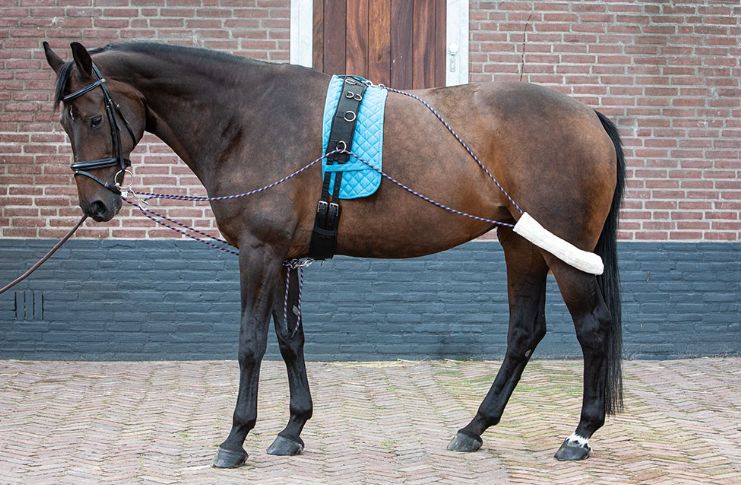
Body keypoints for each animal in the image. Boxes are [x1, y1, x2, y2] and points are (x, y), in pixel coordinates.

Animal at [42, 41, 625, 467]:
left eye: (93, 118)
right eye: (66, 123)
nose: (96, 204)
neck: (247, 116)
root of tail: (589, 115)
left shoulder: (258, 253)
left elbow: (251, 344)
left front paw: (236, 439)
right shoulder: (283, 258)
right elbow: (290, 340)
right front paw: (292, 428)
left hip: (563, 252)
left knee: (593, 328)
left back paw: (579, 436)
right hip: (521, 244)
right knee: (524, 332)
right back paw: (474, 427)